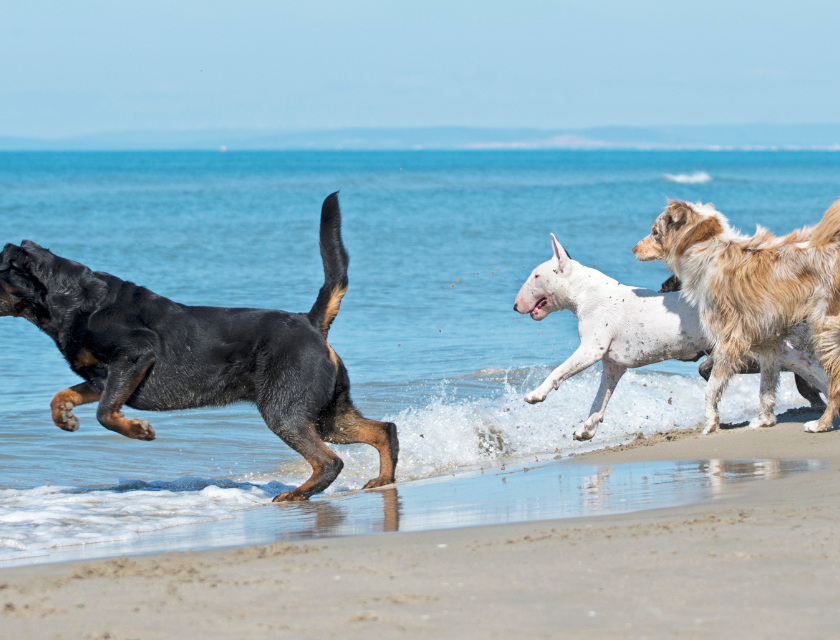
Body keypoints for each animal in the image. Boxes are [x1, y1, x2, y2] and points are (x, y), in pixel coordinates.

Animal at [0, 192, 400, 502]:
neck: (71, 300)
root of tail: (311, 321)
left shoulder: (134, 355)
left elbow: (105, 413)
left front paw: (138, 430)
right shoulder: (103, 378)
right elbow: (63, 396)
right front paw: (65, 418)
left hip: (285, 409)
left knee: (329, 460)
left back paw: (297, 494)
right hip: (326, 412)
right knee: (383, 429)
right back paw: (382, 479)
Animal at [632, 198, 840, 432]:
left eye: (654, 231)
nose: (633, 249)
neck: (706, 249)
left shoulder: (730, 339)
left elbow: (711, 389)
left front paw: (711, 423)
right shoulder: (768, 342)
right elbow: (766, 387)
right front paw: (765, 419)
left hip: (824, 330)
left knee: (835, 382)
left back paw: (821, 423)